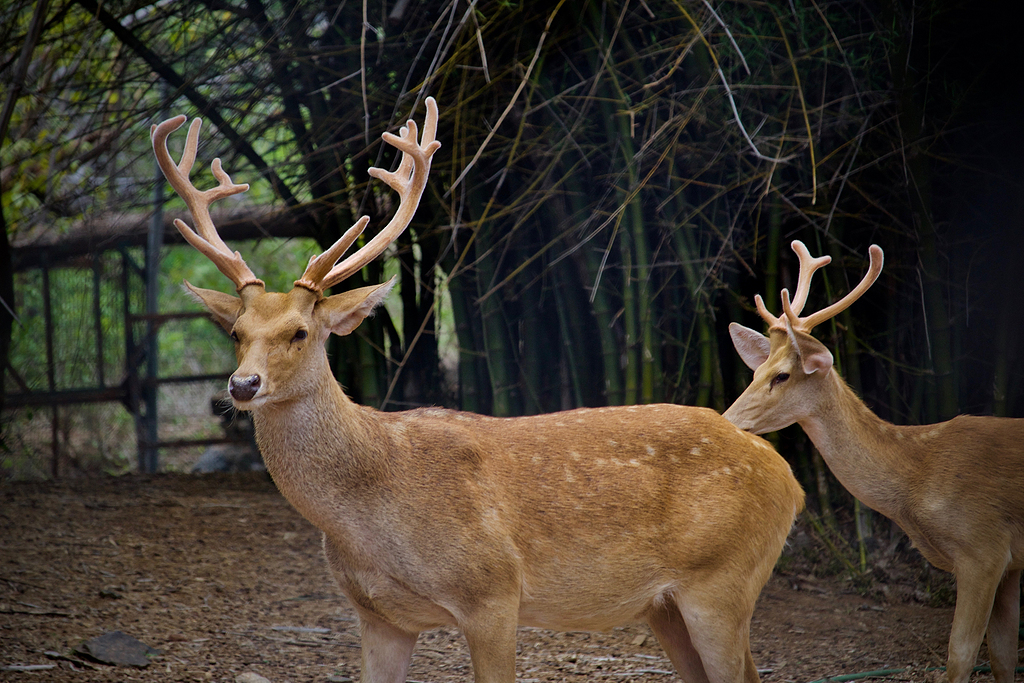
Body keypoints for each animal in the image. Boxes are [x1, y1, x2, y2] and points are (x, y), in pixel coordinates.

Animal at [151, 97, 806, 683]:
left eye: (300, 331)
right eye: (235, 332)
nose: (243, 384)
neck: (370, 513)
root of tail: (788, 477)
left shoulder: (492, 592)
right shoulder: (378, 616)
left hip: (720, 581)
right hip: (665, 605)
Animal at [724, 240, 1019, 683]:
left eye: (782, 376)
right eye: (756, 372)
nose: (726, 421)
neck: (920, 475)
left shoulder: (983, 549)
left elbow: (961, 655)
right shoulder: (1009, 563)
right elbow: (1003, 657)